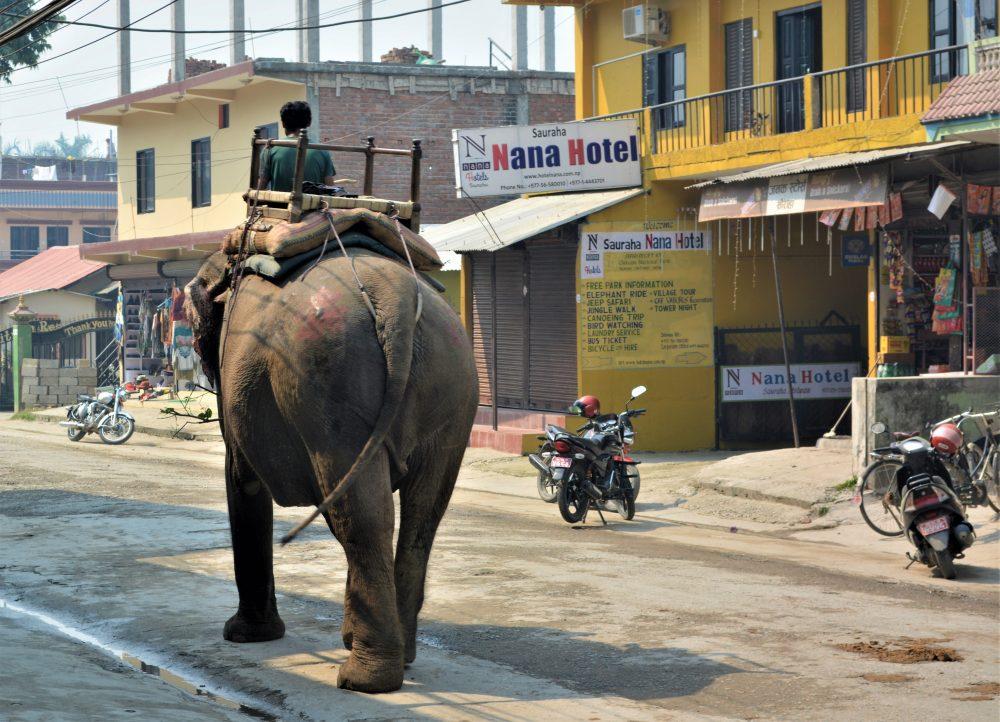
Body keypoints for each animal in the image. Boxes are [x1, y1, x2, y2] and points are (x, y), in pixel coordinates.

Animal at [188, 243, 484, 692]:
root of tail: (395, 297)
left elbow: (241, 479)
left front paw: (244, 636)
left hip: (331, 384)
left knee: (359, 517)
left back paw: (364, 679)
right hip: (451, 388)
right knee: (418, 516)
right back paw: (398, 658)